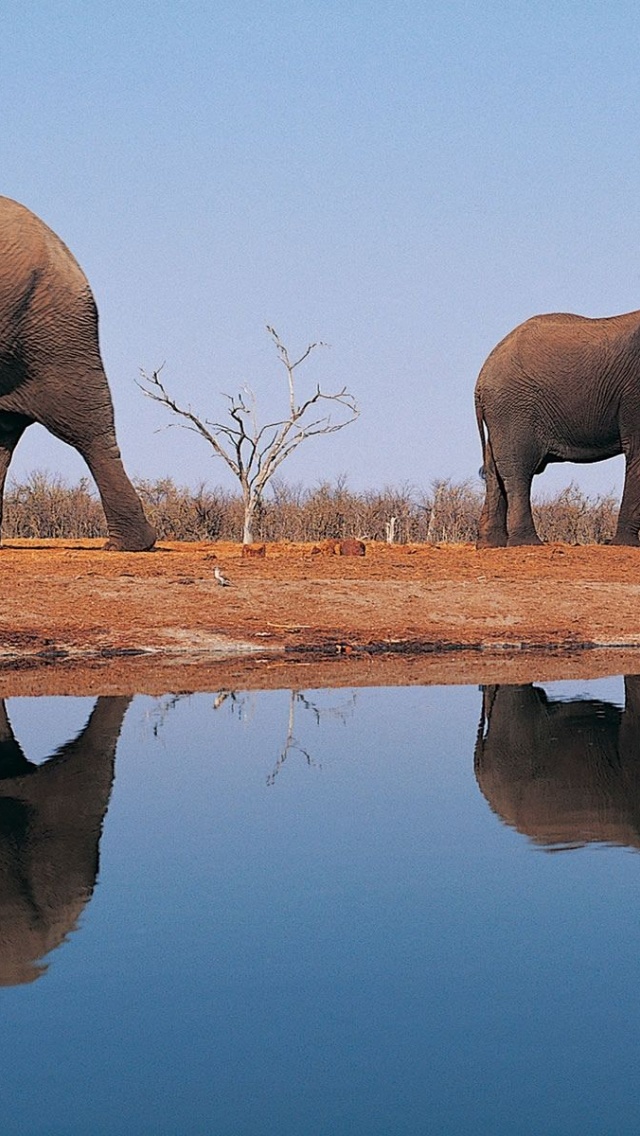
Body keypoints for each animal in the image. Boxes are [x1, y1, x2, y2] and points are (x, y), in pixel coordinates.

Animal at [475, 306, 640, 545]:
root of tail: (480, 380)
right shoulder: (634, 392)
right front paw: (626, 545)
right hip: (514, 408)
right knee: (518, 469)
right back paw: (527, 543)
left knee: (493, 468)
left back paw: (491, 546)